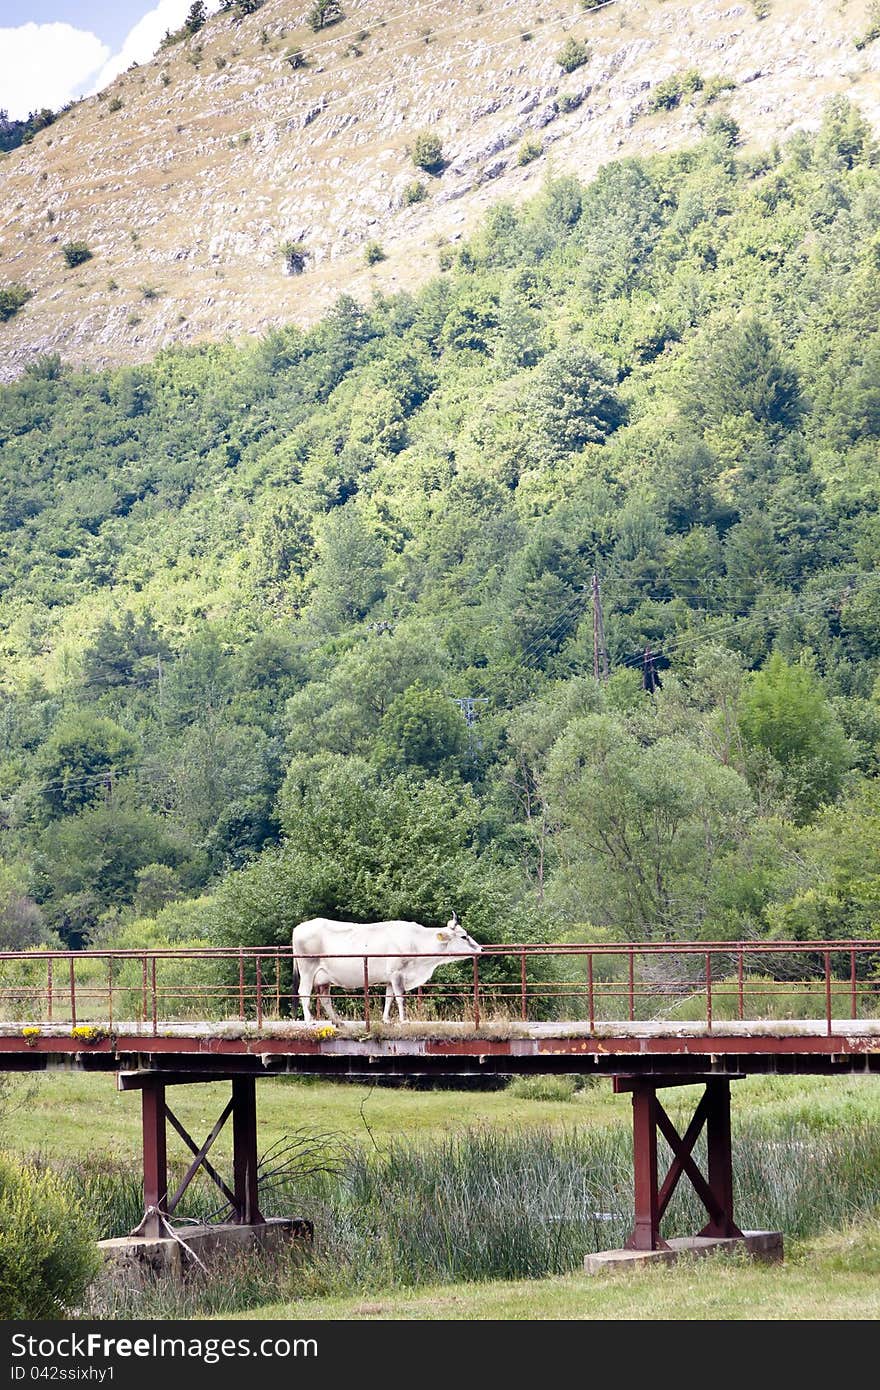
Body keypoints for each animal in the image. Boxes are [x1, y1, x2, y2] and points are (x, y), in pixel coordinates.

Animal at [291, 911, 478, 1023]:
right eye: (464, 936)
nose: (480, 949)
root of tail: (298, 927)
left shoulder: (390, 978)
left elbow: (389, 998)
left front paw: (386, 1019)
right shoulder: (397, 973)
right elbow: (400, 997)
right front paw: (404, 1020)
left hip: (324, 977)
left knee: (324, 998)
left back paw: (337, 1021)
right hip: (307, 969)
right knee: (304, 992)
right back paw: (310, 1020)